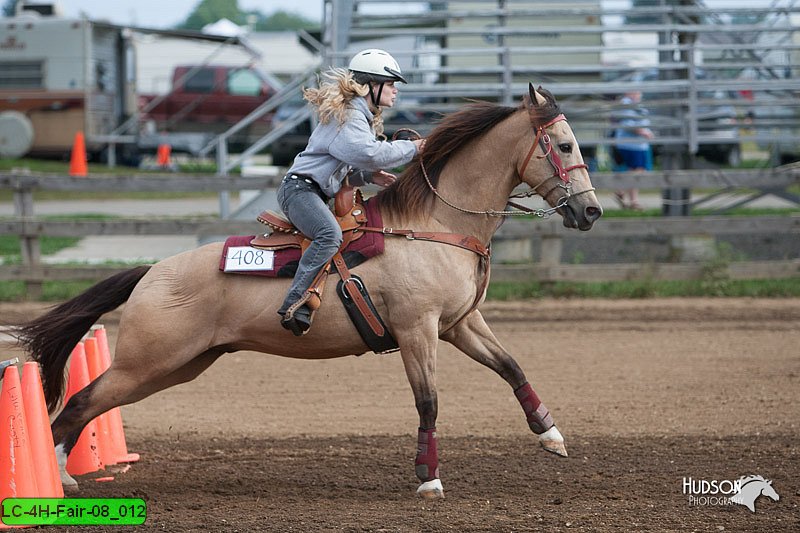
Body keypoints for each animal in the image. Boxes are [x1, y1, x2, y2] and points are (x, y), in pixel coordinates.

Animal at [12, 83, 600, 498]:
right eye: (564, 143)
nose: (591, 211)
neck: (433, 223)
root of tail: (154, 270)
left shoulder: (459, 324)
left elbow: (511, 366)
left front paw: (551, 435)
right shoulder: (418, 331)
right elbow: (428, 401)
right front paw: (428, 478)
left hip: (177, 366)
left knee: (92, 403)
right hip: (148, 361)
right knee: (83, 400)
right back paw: (59, 479)